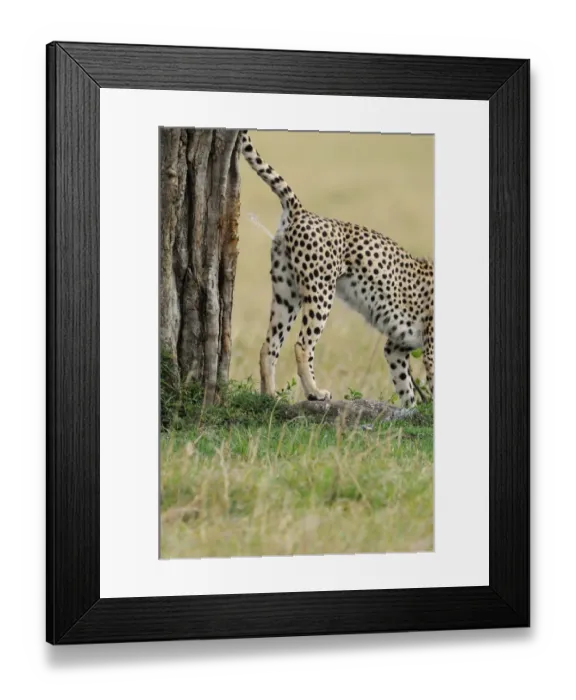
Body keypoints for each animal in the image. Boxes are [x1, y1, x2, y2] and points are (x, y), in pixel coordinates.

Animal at [239, 130, 434, 409]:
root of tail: (302, 212)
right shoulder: (428, 349)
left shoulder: (395, 347)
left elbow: (406, 389)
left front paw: (411, 410)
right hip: (320, 291)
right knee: (302, 345)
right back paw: (315, 392)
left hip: (286, 294)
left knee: (269, 345)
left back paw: (270, 397)